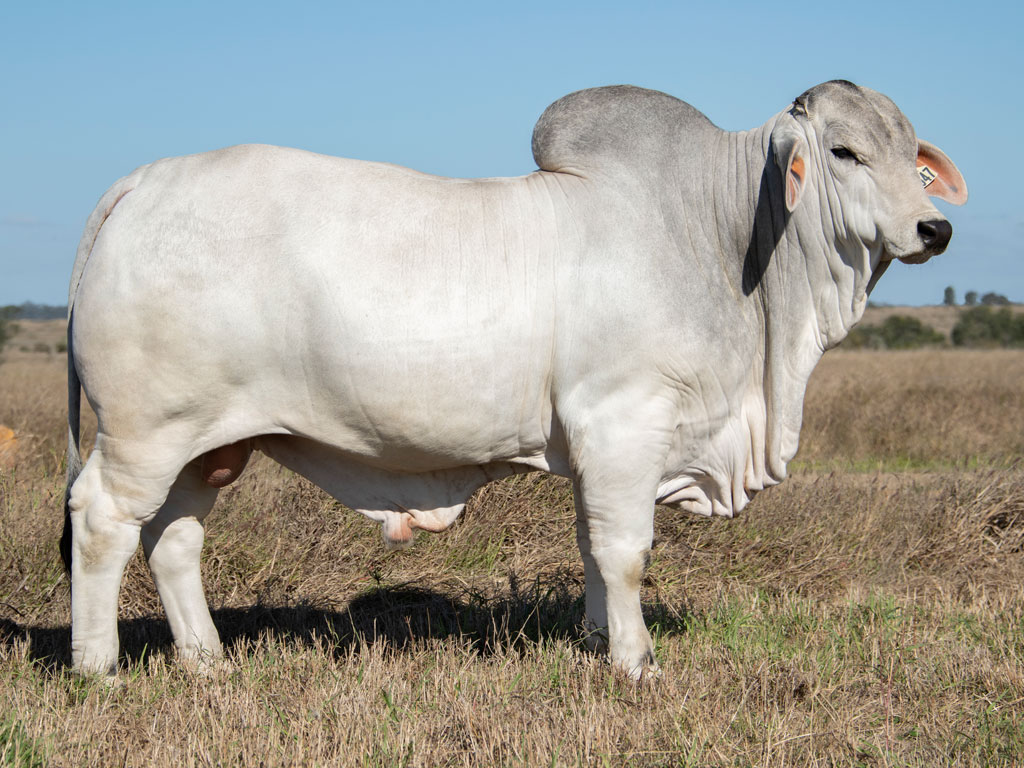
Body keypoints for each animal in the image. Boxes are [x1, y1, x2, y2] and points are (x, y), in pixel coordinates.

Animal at [62, 80, 966, 680]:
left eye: (912, 156)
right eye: (843, 152)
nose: (936, 229)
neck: (717, 232)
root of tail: (142, 181)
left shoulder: (601, 450)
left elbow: (593, 549)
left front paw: (600, 641)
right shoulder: (624, 424)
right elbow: (626, 551)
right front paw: (636, 664)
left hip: (210, 443)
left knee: (174, 538)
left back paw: (207, 661)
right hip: (146, 431)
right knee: (104, 522)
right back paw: (97, 667)